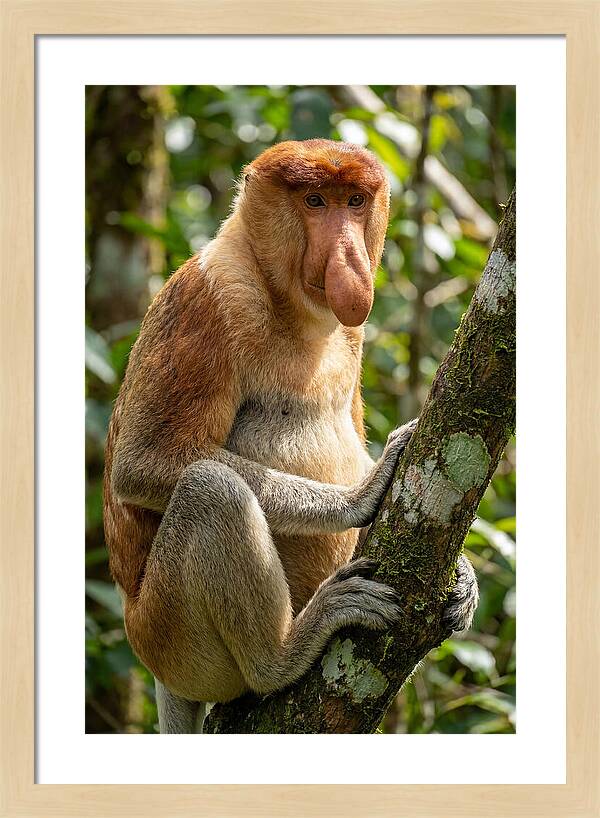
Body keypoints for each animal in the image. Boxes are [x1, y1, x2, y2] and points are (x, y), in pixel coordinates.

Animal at [103, 139, 478, 734]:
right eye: (315, 201)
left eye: (354, 201)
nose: (349, 257)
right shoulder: (208, 299)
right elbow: (144, 462)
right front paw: (362, 494)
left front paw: (463, 576)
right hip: (169, 638)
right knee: (211, 490)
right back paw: (284, 654)